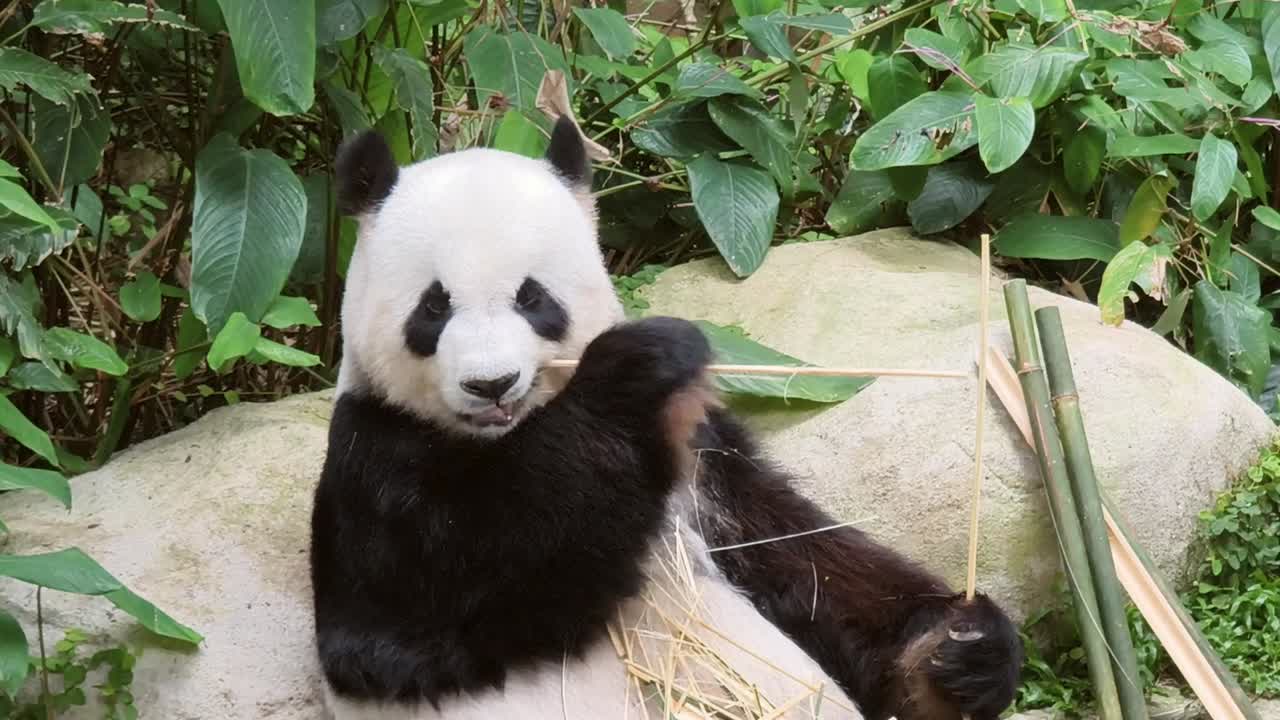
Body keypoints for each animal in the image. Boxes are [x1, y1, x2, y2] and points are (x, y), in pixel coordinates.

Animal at [309, 116, 1023, 720]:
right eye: (433, 307)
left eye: (533, 298)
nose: (492, 384)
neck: (508, 438)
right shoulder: (372, 460)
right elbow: (423, 619)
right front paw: (630, 371)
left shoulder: (701, 458)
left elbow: (806, 566)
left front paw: (956, 653)